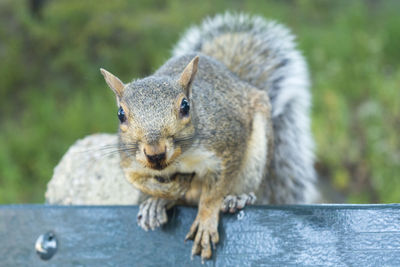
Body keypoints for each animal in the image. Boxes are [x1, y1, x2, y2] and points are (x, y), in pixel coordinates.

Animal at [100, 12, 318, 262]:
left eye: (186, 106)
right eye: (120, 114)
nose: (155, 153)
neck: (180, 158)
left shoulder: (228, 142)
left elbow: (214, 192)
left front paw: (205, 220)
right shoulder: (130, 161)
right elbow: (140, 180)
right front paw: (166, 192)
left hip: (257, 156)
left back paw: (238, 198)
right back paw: (157, 204)